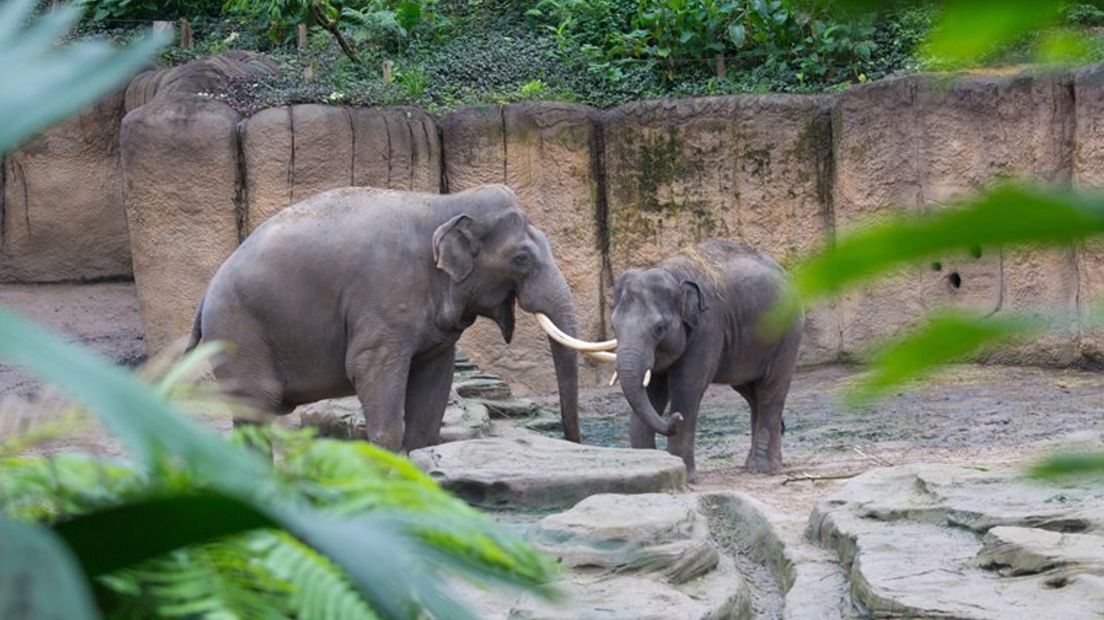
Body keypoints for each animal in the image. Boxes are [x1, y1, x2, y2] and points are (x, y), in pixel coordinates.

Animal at [187, 183, 587, 447]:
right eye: (521, 258)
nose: (574, 442)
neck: (444, 204)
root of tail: (205, 294)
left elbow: (432, 392)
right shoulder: (384, 297)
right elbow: (369, 369)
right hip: (238, 332)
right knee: (256, 408)